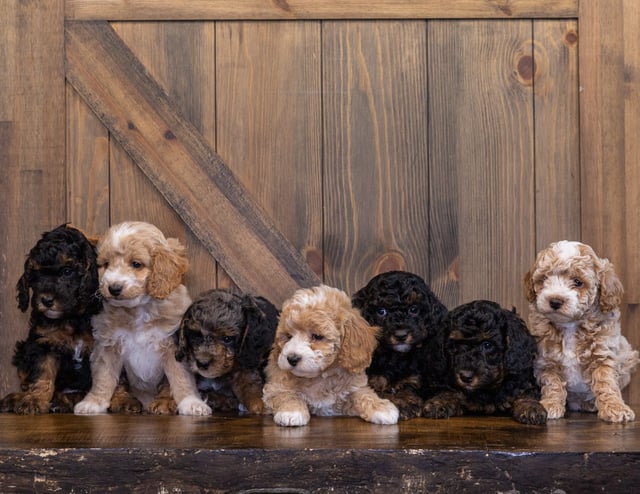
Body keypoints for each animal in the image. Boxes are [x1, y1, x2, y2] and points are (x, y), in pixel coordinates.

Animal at [0, 224, 101, 412]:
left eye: (67, 271)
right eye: (36, 274)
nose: (46, 300)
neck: (72, 317)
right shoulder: (43, 343)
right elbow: (42, 374)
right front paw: (34, 400)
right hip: (23, 350)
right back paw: (19, 398)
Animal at [74, 222, 210, 414]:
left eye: (136, 264)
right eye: (106, 264)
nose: (114, 288)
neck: (138, 310)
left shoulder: (174, 345)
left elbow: (181, 377)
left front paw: (191, 402)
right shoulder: (107, 345)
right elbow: (103, 377)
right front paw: (93, 402)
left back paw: (163, 403)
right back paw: (125, 402)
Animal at [262, 284, 398, 426]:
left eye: (317, 336)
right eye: (288, 336)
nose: (292, 358)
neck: (321, 377)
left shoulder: (353, 387)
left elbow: (364, 394)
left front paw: (381, 408)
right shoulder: (275, 387)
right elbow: (286, 395)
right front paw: (291, 412)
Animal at [350, 270, 450, 420]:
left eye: (414, 309)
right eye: (381, 311)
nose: (401, 335)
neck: (394, 358)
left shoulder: (413, 379)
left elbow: (405, 388)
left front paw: (407, 400)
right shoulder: (370, 382)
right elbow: (383, 393)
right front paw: (403, 404)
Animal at [524, 241, 636, 422]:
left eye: (577, 282)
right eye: (545, 279)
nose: (555, 301)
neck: (570, 324)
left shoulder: (603, 355)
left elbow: (606, 384)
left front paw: (615, 408)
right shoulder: (546, 360)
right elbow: (552, 384)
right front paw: (549, 405)